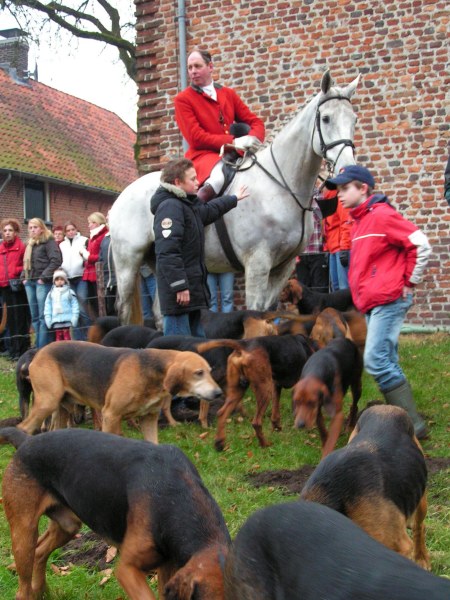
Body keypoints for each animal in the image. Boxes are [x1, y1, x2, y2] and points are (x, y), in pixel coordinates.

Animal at [0, 426, 230, 600]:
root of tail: (26, 440)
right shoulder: (128, 569)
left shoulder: (167, 567)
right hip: (24, 533)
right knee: (22, 589)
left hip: (67, 525)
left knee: (40, 554)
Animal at [18, 340, 222, 442]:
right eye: (198, 373)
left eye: (210, 371)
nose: (219, 393)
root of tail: (38, 352)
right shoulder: (110, 415)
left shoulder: (149, 419)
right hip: (47, 403)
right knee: (22, 428)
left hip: (61, 409)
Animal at [110, 70, 360, 324]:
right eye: (326, 118)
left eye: (354, 119)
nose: (347, 167)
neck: (281, 186)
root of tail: (121, 197)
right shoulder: (258, 263)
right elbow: (256, 311)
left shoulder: (284, 267)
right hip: (128, 262)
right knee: (124, 309)